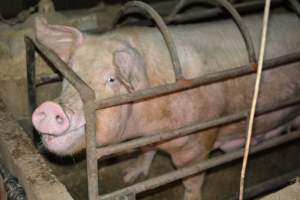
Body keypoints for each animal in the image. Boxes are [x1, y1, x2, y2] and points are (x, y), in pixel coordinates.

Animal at [31, 11, 300, 200]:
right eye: (70, 72)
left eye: (112, 79)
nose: (50, 108)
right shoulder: (147, 137)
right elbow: (146, 151)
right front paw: (129, 176)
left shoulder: (198, 143)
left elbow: (191, 180)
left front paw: (191, 197)